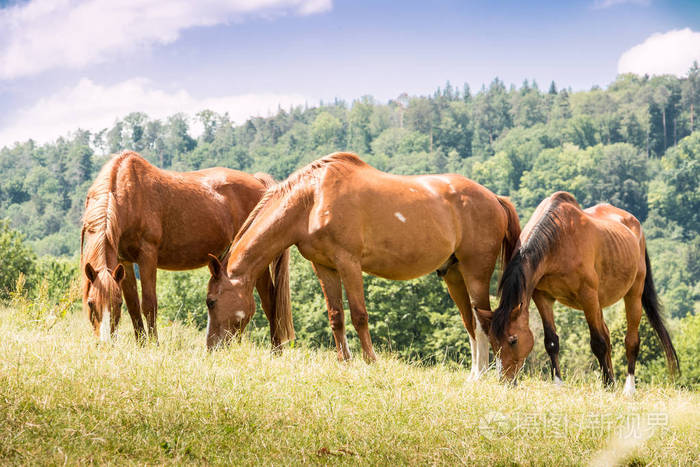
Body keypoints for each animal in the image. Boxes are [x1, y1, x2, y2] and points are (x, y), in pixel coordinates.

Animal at [80, 151, 294, 348]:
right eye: (90, 303)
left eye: (117, 304)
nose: (105, 344)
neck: (128, 194)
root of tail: (258, 182)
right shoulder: (123, 261)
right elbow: (133, 305)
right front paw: (140, 345)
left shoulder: (147, 256)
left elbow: (149, 304)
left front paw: (153, 345)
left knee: (270, 303)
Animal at [204, 152, 520, 378]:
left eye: (210, 301)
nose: (211, 349)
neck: (313, 199)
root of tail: (495, 198)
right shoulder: (325, 267)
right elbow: (336, 315)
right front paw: (344, 362)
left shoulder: (349, 263)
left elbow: (359, 315)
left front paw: (370, 362)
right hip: (453, 274)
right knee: (470, 322)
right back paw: (474, 375)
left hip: (476, 272)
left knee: (483, 320)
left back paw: (483, 376)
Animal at [476, 191, 680, 394]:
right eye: (493, 342)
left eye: (513, 340)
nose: (505, 380)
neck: (557, 241)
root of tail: (635, 226)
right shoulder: (543, 297)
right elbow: (552, 342)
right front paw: (559, 383)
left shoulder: (587, 296)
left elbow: (598, 343)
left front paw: (607, 384)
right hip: (599, 302)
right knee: (607, 335)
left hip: (633, 294)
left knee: (631, 341)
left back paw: (628, 389)